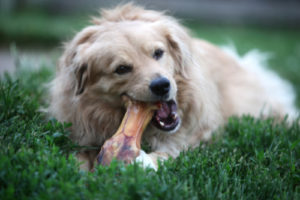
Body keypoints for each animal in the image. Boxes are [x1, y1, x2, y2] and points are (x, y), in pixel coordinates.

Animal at [48, 3, 296, 170]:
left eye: (158, 53)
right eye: (122, 68)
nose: (162, 85)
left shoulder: (200, 139)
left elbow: (170, 153)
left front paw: (144, 161)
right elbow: (77, 158)